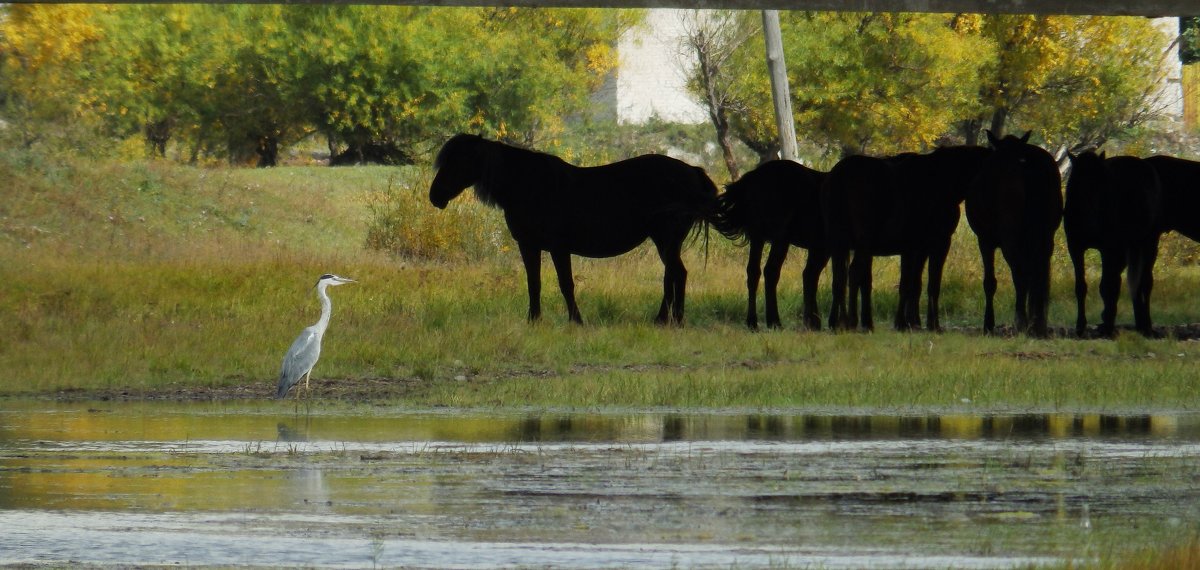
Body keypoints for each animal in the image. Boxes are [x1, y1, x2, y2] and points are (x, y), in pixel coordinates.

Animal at [427, 130, 715, 324]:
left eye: (458, 161)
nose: (435, 196)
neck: (528, 186)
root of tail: (693, 171)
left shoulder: (558, 247)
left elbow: (566, 284)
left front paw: (576, 320)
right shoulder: (528, 246)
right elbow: (534, 283)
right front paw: (534, 320)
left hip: (666, 239)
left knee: (677, 274)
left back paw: (674, 320)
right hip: (666, 241)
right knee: (672, 275)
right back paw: (664, 319)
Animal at [705, 160, 830, 331]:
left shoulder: (818, 248)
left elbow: (810, 276)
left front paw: (812, 321)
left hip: (757, 237)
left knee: (753, 272)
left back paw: (753, 323)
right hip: (780, 239)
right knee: (771, 271)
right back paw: (774, 322)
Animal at [820, 147, 988, 333]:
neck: (942, 181)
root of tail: (839, 175)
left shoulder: (914, 248)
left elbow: (910, 284)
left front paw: (907, 322)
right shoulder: (939, 243)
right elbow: (929, 284)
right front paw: (930, 324)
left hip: (839, 242)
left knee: (839, 279)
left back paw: (839, 322)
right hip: (862, 243)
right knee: (854, 273)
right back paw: (851, 321)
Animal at [960, 131, 1065, 336]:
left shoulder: (985, 241)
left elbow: (990, 282)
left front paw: (988, 324)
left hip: (1010, 238)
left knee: (1020, 273)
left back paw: (1021, 321)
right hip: (1045, 236)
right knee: (1037, 272)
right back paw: (1037, 323)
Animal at [1070, 151, 1161, 338]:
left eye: (1102, 182)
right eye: (1077, 184)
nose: (1091, 218)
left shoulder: (1108, 249)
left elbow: (1107, 286)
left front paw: (1107, 327)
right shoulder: (1075, 247)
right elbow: (1081, 286)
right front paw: (1081, 327)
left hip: (1147, 244)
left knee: (1144, 282)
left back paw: (1146, 326)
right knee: (1130, 281)